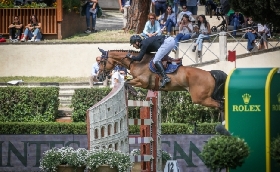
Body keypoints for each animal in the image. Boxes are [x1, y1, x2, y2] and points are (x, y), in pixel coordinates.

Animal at [97, 48, 226, 110]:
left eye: (101, 62)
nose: (99, 76)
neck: (137, 62)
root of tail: (210, 73)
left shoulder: (143, 82)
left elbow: (126, 83)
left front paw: (135, 93)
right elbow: (126, 82)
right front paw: (134, 92)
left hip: (200, 98)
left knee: (220, 105)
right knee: (222, 103)